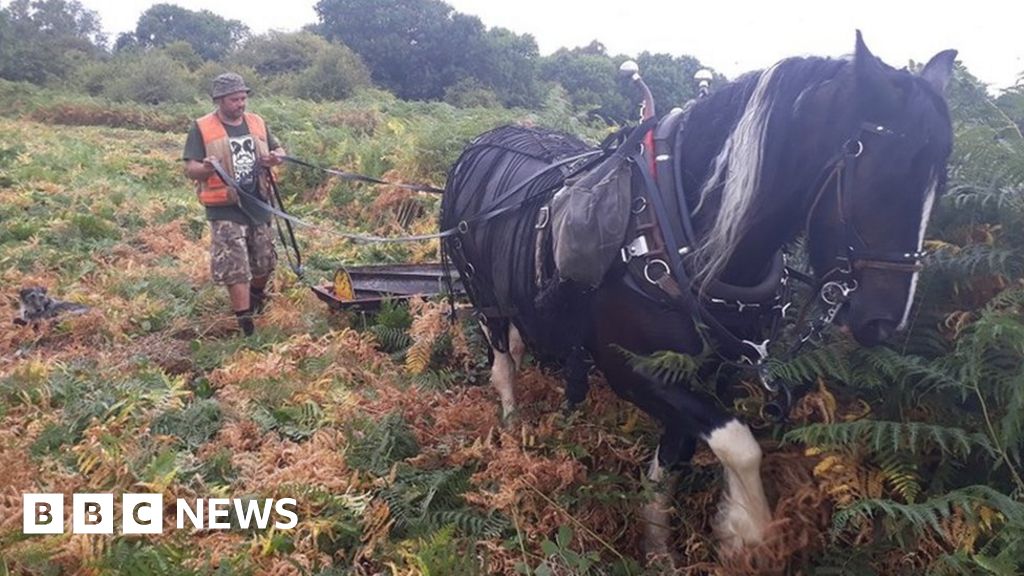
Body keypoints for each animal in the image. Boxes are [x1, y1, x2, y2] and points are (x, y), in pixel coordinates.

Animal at [440, 32, 956, 554]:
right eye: (886, 180)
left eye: (941, 180)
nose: (884, 322)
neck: (677, 231)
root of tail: (485, 139)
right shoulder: (633, 370)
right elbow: (738, 441)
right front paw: (748, 533)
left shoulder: (710, 371)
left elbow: (675, 458)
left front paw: (660, 545)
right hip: (483, 295)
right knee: (503, 367)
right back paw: (512, 433)